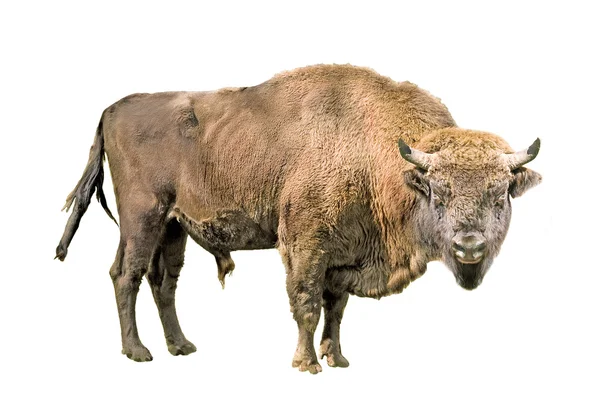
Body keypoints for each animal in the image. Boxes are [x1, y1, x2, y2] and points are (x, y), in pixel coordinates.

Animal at [57, 64, 544, 374]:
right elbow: (306, 304)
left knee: (164, 282)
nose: (469, 247)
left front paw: (338, 358)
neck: (380, 158)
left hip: (174, 226)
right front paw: (307, 364)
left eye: (500, 194)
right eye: (437, 193)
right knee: (127, 274)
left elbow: (336, 308)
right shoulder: (307, 245)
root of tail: (111, 109)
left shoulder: (343, 257)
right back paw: (137, 352)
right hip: (143, 218)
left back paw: (182, 346)